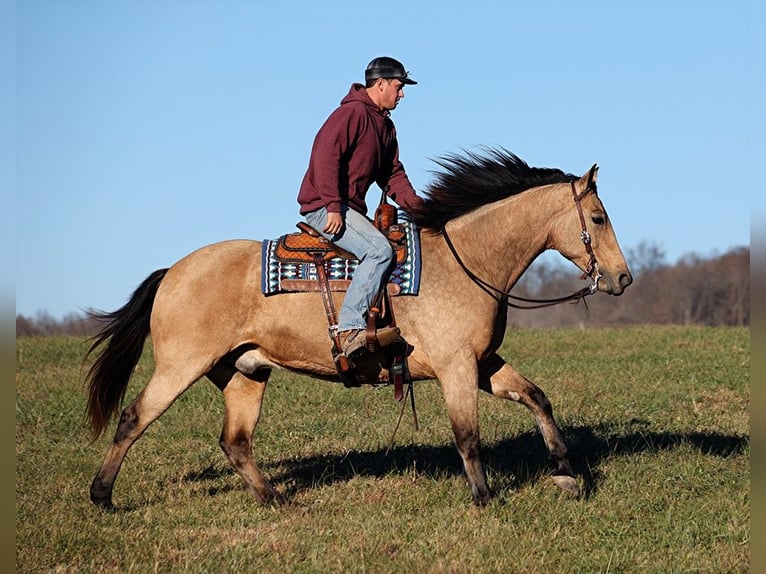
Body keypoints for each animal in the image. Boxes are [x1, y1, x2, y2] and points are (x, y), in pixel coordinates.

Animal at [84, 148, 636, 508]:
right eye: (598, 217)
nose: (623, 278)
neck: (465, 260)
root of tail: (172, 272)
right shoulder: (456, 368)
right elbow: (467, 435)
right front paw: (483, 498)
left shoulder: (480, 363)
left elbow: (536, 397)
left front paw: (566, 474)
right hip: (181, 365)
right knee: (134, 418)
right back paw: (102, 496)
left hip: (244, 373)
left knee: (235, 442)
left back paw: (277, 499)